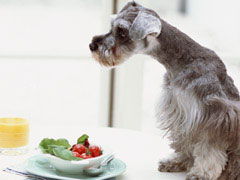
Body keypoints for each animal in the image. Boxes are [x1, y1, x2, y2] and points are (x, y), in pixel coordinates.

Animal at [89, 1, 240, 180]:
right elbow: (184, 141)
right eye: (112, 26)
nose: (92, 45)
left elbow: (208, 148)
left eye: (122, 32)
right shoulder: (179, 113)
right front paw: (177, 161)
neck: (182, 60)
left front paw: (201, 173)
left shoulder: (212, 116)